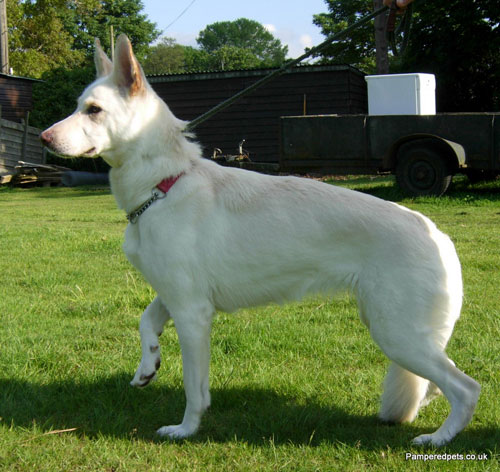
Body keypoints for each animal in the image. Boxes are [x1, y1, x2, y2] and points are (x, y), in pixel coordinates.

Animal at [41, 35, 478, 444]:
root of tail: (437, 233)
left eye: (93, 110)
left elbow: (194, 387)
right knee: (436, 387)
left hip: (397, 336)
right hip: (396, 330)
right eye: (79, 106)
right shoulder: (176, 295)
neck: (163, 185)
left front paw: (186, 429)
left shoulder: (192, 313)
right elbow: (146, 319)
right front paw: (148, 364)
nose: (44, 139)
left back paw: (439, 438)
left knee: (465, 388)